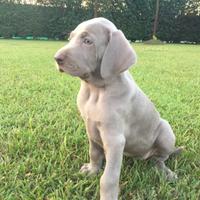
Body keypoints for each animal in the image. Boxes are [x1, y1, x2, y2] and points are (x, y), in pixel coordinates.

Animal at [54, 17, 183, 200]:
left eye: (88, 41)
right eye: (70, 38)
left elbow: (108, 177)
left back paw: (165, 172)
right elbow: (94, 153)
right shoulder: (90, 127)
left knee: (159, 159)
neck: (95, 90)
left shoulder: (114, 140)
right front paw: (92, 170)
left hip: (165, 130)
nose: (56, 58)